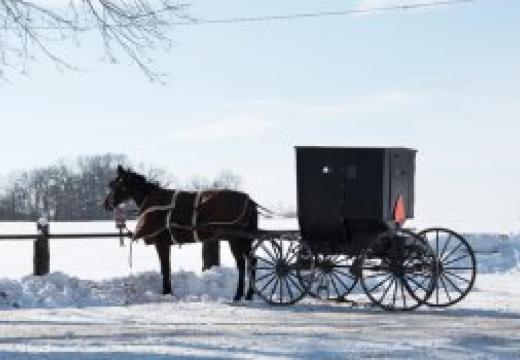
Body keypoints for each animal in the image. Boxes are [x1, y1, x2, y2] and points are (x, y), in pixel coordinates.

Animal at [103, 166, 258, 300]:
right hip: (245, 240)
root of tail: (249, 201)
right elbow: (165, 268)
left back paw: (238, 295)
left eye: (115, 184)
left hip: (236, 239)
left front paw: (167, 292)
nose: (105, 204)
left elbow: (165, 268)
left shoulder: (162, 243)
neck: (153, 203)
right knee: (252, 261)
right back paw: (249, 294)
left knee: (242, 264)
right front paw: (167, 291)